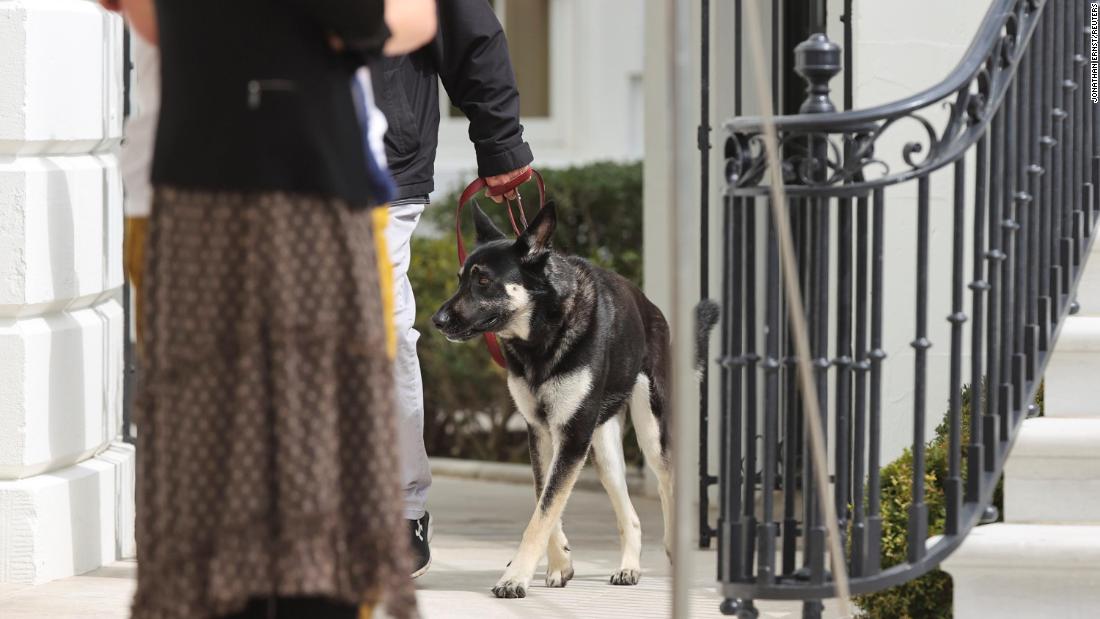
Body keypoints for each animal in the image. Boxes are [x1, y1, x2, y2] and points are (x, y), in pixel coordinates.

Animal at [429, 203, 668, 602]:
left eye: (483, 281)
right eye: (461, 279)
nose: (437, 320)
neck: (542, 333)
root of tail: (649, 304)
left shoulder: (571, 438)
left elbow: (543, 511)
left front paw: (515, 577)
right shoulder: (541, 432)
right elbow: (546, 500)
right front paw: (559, 564)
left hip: (651, 433)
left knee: (667, 483)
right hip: (603, 451)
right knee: (629, 512)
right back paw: (629, 567)